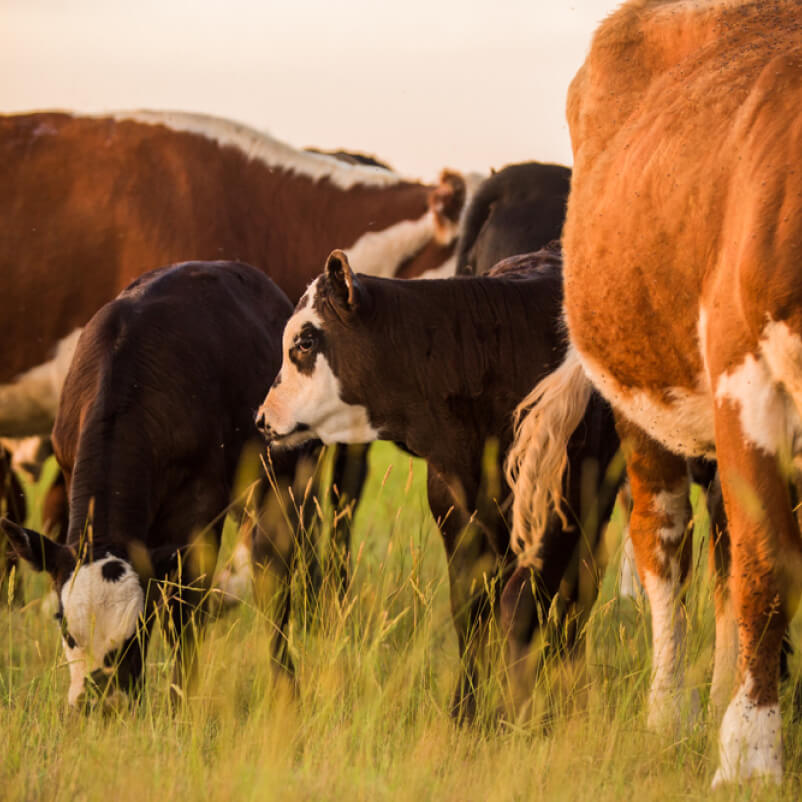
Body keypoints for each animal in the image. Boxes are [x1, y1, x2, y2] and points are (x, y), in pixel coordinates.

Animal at [0, 260, 304, 704]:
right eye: (64, 625)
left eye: (133, 630)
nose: (98, 705)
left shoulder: (197, 513)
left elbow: (184, 610)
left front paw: (182, 700)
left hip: (276, 485)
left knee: (273, 575)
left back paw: (286, 685)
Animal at [252, 245, 620, 720]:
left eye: (306, 341)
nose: (263, 419)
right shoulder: (456, 517)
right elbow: (470, 610)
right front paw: (465, 713)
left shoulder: (557, 515)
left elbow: (520, 609)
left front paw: (514, 714)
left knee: (576, 598)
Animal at [506, 0, 800, 784]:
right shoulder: (747, 382)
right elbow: (767, 564)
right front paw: (751, 757)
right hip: (641, 398)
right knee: (667, 539)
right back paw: (673, 712)